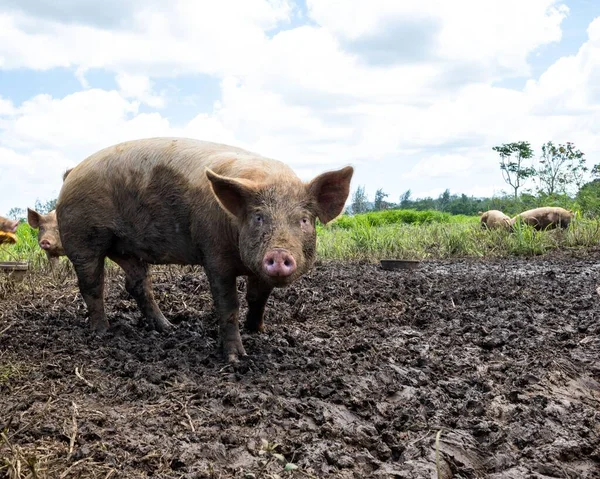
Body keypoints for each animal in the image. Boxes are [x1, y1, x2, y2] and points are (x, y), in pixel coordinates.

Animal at [55, 137, 352, 362]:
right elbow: (228, 304)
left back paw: (167, 328)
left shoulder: (259, 269)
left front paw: (257, 330)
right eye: (258, 217)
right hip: (83, 238)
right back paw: (102, 332)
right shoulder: (214, 254)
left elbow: (258, 298)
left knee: (138, 285)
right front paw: (236, 358)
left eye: (304, 220)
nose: (278, 254)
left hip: (126, 249)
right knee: (92, 284)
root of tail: (71, 174)